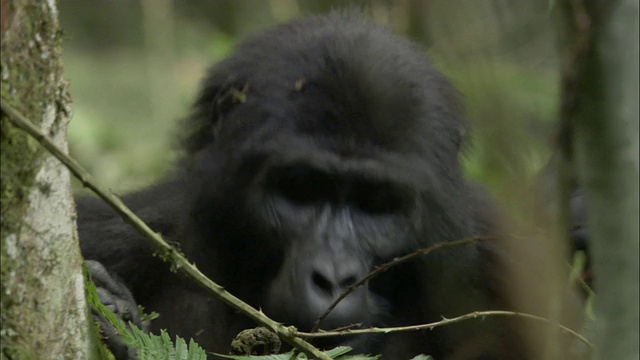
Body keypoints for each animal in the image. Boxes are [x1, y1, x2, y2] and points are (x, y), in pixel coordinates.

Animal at [76, 11, 584, 360]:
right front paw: (114, 308)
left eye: (375, 203)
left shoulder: (504, 262)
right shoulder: (118, 229)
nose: (334, 278)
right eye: (299, 189)